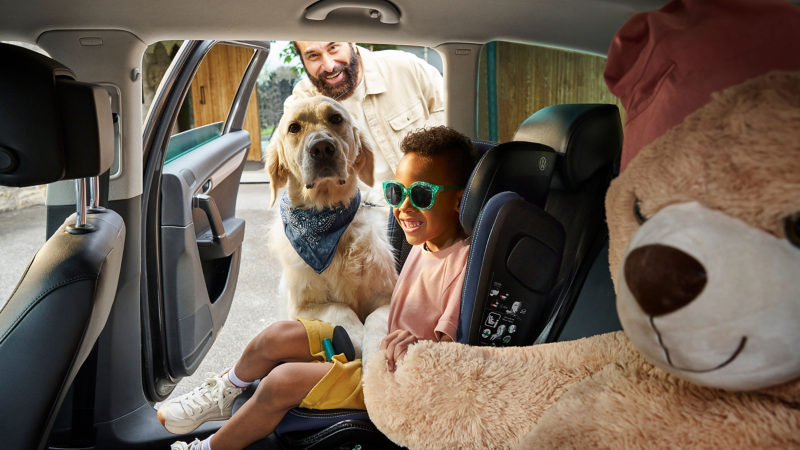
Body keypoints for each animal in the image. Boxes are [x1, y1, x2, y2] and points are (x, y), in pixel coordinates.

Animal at [266, 97, 396, 358]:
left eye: (336, 118)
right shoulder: (302, 306)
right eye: (294, 127)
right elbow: (339, 308)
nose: (322, 148)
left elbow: (377, 321)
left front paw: (375, 356)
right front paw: (354, 337)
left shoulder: (388, 295)